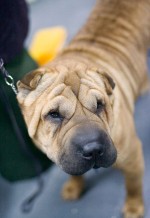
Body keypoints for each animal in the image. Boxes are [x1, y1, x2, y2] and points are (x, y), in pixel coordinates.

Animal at [16, 0, 150, 217]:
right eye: (54, 114)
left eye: (100, 105)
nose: (93, 148)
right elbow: (73, 172)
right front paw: (73, 187)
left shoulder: (132, 155)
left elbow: (133, 184)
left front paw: (133, 207)